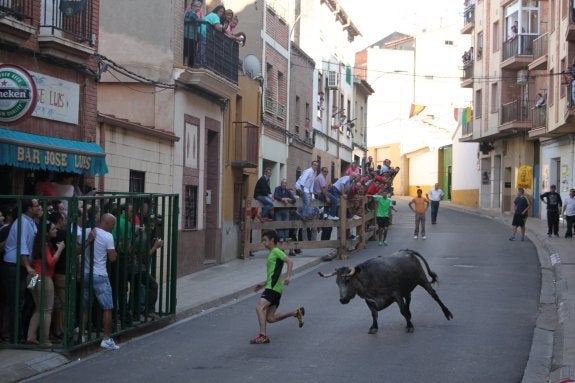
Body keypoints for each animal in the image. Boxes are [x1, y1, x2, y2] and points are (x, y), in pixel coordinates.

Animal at [320, 250, 454, 334]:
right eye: (337, 282)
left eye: (347, 280)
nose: (342, 300)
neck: (369, 278)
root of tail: (408, 252)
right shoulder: (369, 300)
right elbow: (374, 314)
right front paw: (374, 327)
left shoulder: (396, 294)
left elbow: (402, 311)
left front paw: (409, 326)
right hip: (407, 287)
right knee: (409, 298)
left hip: (422, 279)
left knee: (434, 295)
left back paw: (447, 313)